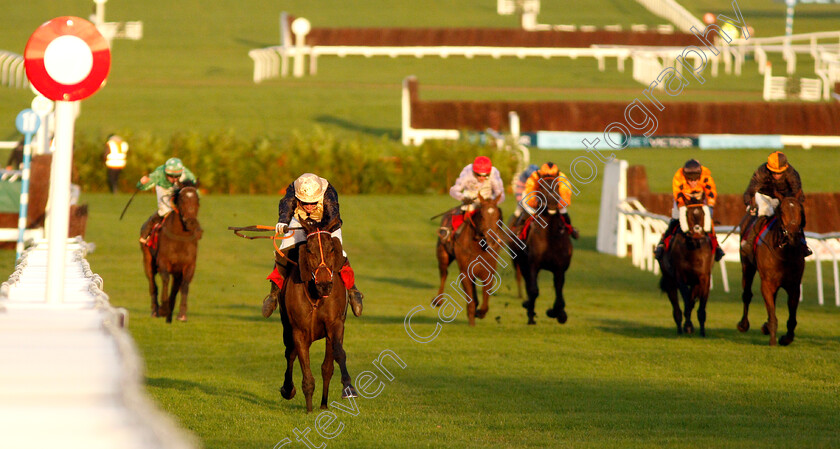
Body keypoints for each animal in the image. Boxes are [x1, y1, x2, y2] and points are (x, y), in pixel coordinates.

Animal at [141, 182, 202, 322]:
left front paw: (182, 315)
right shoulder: (163, 261)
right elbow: (165, 280)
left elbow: (184, 285)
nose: (191, 222)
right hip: (147, 261)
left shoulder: (189, 265)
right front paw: (163, 309)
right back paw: (155, 310)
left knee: (175, 288)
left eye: (197, 199)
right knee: (153, 284)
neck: (180, 238)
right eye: (181, 199)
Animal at [278, 218, 358, 412]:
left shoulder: (335, 325)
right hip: (286, 328)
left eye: (332, 249)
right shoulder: (298, 331)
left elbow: (336, 357)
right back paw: (288, 389)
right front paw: (308, 409)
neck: (315, 296)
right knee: (289, 354)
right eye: (309, 250)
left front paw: (348, 388)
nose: (324, 285)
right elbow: (304, 368)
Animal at [660, 201, 712, 334]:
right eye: (687, 214)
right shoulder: (680, 277)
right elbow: (687, 301)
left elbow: (698, 303)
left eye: (703, 213)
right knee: (676, 306)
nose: (697, 232)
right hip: (669, 280)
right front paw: (688, 325)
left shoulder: (703, 278)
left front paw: (702, 331)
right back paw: (680, 327)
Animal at [740, 196, 804, 346]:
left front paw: (786, 338)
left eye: (800, 210)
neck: (785, 253)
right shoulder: (767, 283)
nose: (793, 236)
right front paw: (773, 340)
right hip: (747, 265)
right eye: (781, 211)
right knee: (747, 294)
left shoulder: (794, 285)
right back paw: (744, 324)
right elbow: (772, 311)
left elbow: (792, 315)